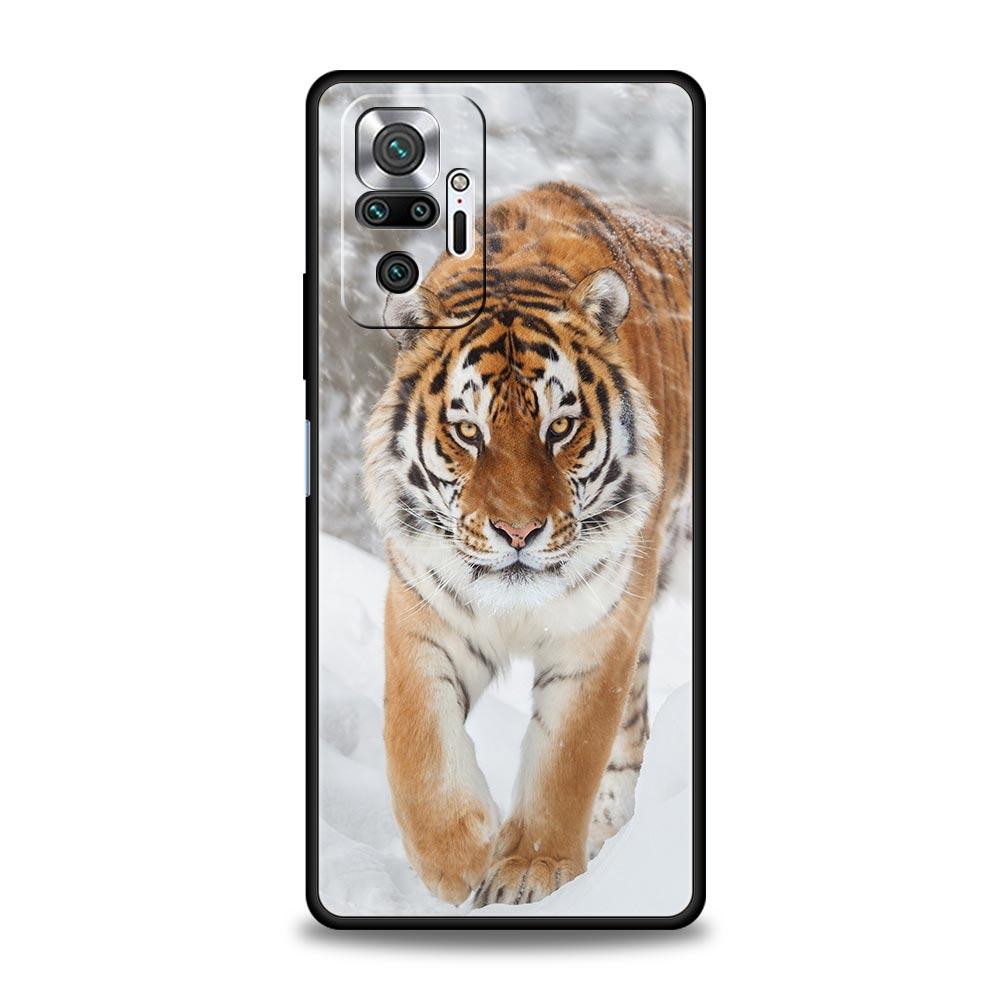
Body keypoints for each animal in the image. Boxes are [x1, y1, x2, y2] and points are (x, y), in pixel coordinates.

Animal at [363, 182, 692, 908]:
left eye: (560, 427)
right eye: (468, 431)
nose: (519, 533)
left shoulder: (600, 629)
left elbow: (566, 758)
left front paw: (529, 872)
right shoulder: (424, 610)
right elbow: (418, 742)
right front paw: (457, 861)